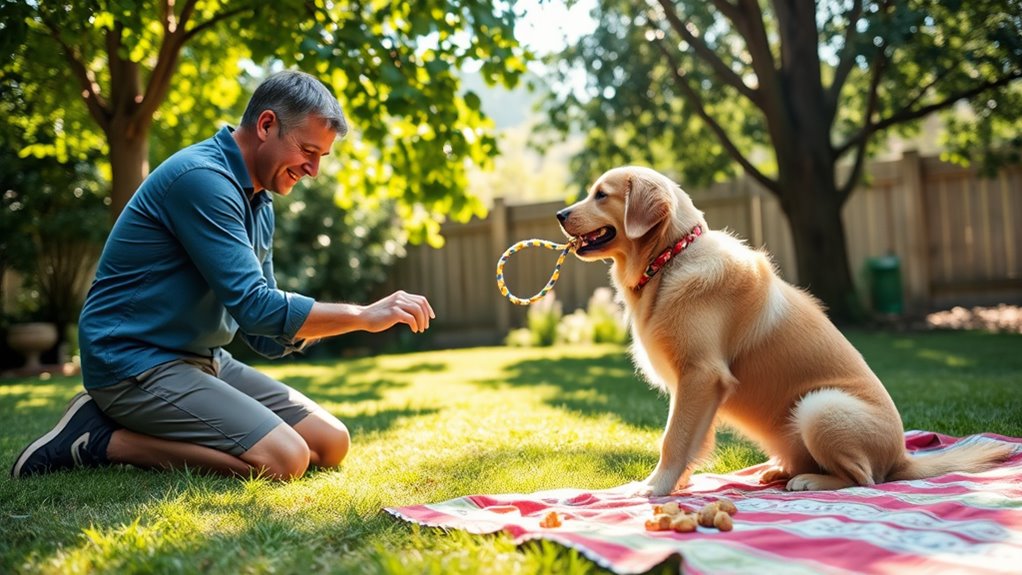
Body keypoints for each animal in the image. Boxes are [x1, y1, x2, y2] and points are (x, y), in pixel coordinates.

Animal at [560, 165, 1013, 494]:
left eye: (601, 194)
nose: (560, 214)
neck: (671, 258)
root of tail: (903, 456)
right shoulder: (693, 387)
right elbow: (688, 438)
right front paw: (677, 484)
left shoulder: (701, 374)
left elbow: (673, 438)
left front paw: (654, 488)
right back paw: (779, 471)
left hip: (819, 406)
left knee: (866, 480)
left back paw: (809, 480)